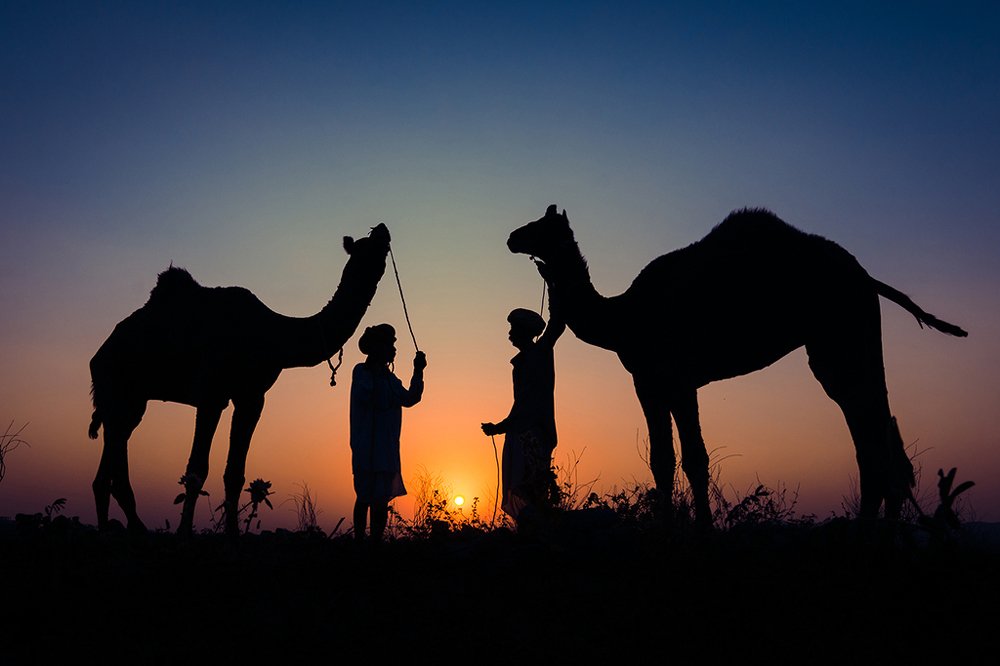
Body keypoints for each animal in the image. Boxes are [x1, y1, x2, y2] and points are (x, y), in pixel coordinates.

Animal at [88, 223, 391, 535]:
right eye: (369, 246)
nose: (381, 228)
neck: (273, 335)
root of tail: (100, 353)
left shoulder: (252, 397)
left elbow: (235, 472)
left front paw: (232, 532)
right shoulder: (212, 393)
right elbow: (196, 470)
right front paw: (184, 531)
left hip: (132, 399)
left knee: (113, 455)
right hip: (116, 386)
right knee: (114, 452)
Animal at [508, 205, 967, 526]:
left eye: (542, 226)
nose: (512, 236)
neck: (624, 317)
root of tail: (867, 277)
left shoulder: (677, 378)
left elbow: (694, 459)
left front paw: (702, 531)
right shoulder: (648, 382)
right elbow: (661, 460)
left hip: (843, 338)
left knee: (870, 428)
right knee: (876, 432)